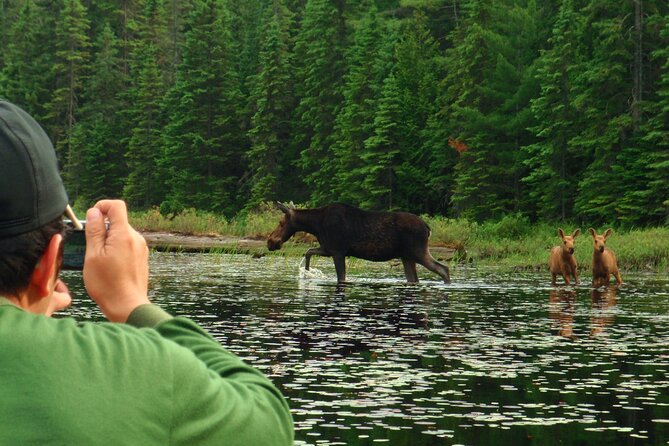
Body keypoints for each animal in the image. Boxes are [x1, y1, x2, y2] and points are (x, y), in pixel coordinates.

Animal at [264, 203, 448, 284]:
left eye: (281, 222)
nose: (270, 241)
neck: (316, 225)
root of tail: (428, 227)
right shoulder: (329, 248)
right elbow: (308, 251)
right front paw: (307, 272)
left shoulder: (337, 251)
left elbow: (341, 277)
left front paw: (307, 272)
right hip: (406, 256)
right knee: (415, 279)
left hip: (417, 250)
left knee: (443, 269)